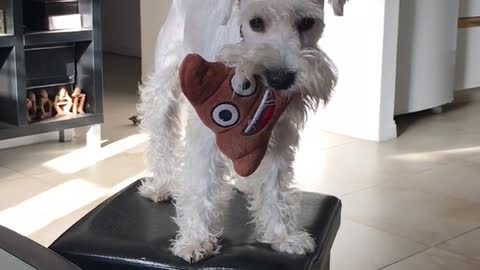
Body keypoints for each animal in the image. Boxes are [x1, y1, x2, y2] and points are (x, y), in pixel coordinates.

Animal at [137, 0, 346, 262]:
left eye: (307, 22)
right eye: (256, 22)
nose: (279, 79)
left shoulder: (276, 131)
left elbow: (276, 185)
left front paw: (283, 235)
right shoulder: (208, 132)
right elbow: (200, 185)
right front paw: (196, 240)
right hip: (165, 84)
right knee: (161, 136)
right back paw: (162, 185)